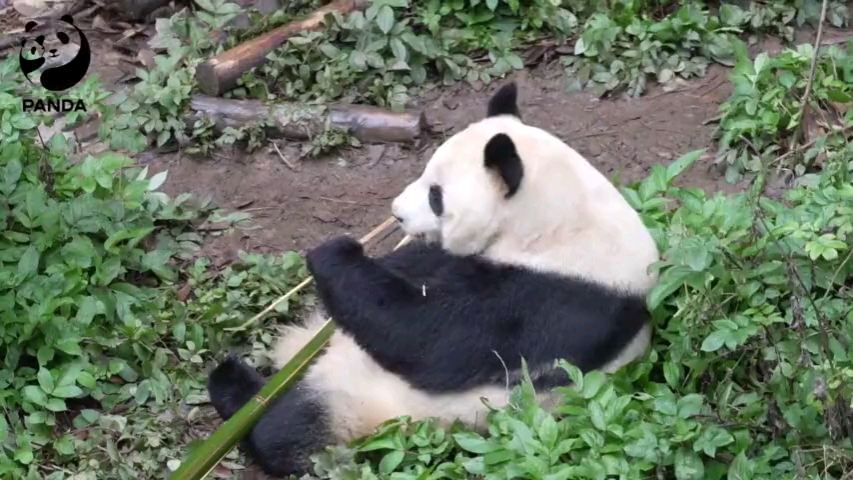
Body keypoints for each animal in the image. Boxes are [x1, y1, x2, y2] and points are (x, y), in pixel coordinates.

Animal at [206, 81, 660, 476]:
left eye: (436, 196)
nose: (397, 214)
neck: (558, 219)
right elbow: (417, 270)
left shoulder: (553, 299)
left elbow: (432, 339)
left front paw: (334, 254)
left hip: (375, 406)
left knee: (295, 427)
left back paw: (236, 388)